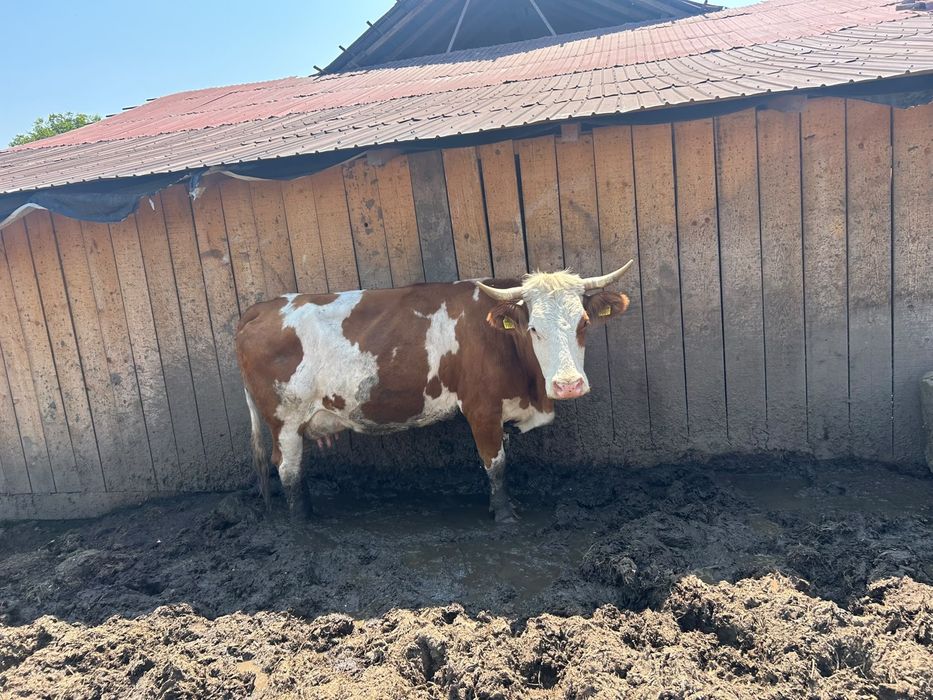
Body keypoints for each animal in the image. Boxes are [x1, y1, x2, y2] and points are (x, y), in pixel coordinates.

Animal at [235, 261, 634, 523]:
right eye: (533, 328)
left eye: (584, 323)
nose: (568, 385)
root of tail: (263, 307)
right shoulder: (480, 408)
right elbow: (496, 463)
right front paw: (505, 515)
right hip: (285, 420)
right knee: (288, 468)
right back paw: (303, 522)